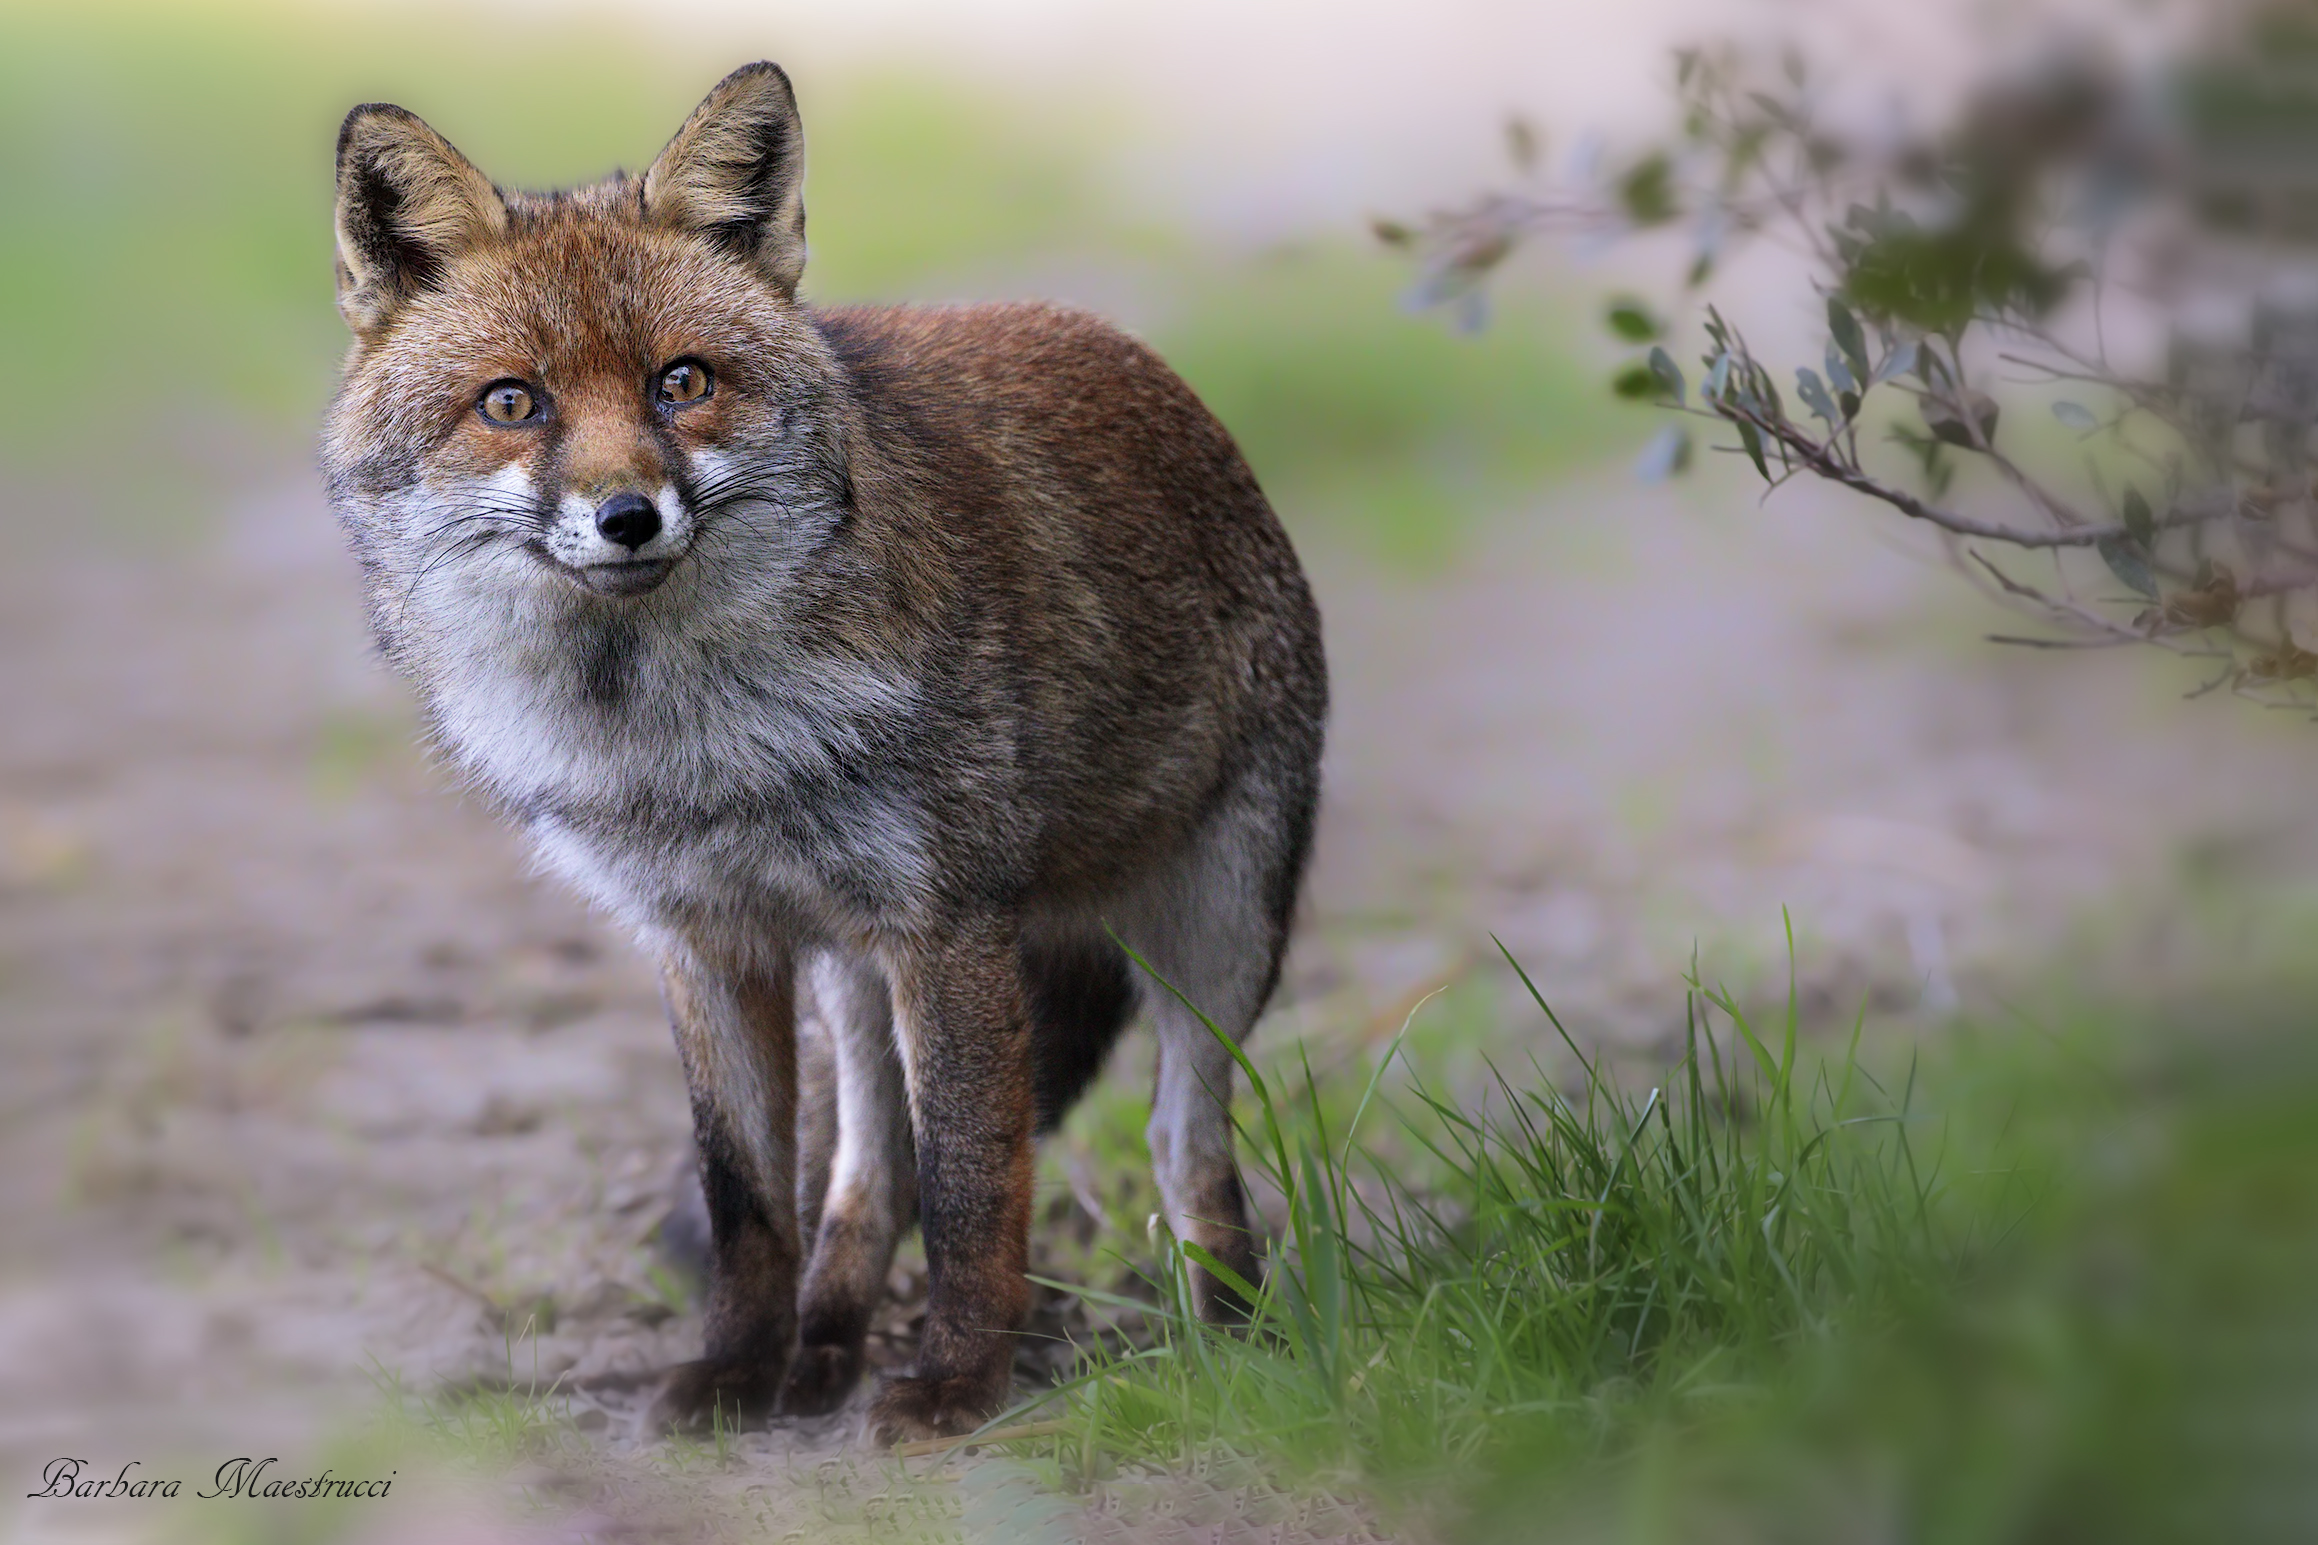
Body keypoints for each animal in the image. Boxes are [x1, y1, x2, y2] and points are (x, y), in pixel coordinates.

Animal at [321, 63, 1327, 1444]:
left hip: (1215, 933)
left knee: (1188, 1150)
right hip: (854, 977)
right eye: (511, 404)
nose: (626, 516)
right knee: (860, 1176)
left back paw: (1231, 1337)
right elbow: (750, 1200)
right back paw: (824, 1352)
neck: (689, 748)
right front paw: (735, 1375)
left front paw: (959, 1387)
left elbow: (972, 1188)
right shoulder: (705, 941)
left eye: (680, 383)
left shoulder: (945, 925)